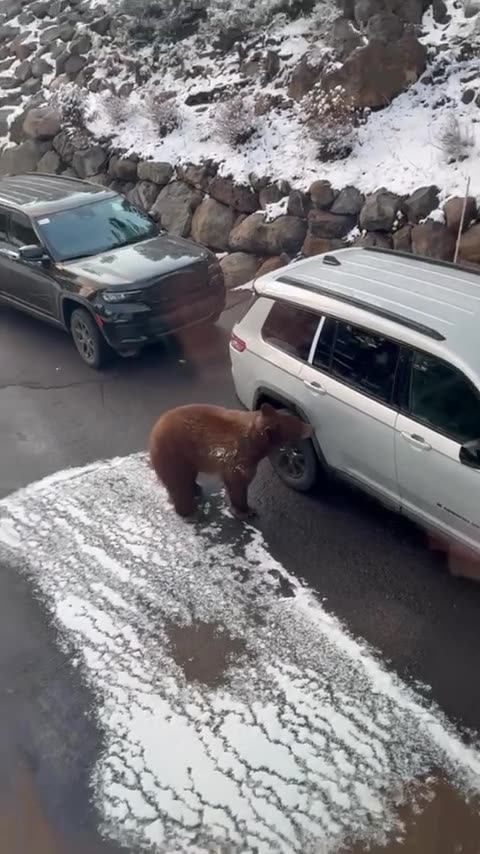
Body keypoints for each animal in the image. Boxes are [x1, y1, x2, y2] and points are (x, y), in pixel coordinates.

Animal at [149, 402, 313, 519]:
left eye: (296, 419)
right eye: (298, 425)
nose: (312, 427)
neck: (257, 442)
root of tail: (155, 429)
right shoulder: (239, 455)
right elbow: (237, 482)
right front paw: (247, 510)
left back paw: (195, 488)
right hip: (174, 453)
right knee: (178, 483)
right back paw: (189, 511)